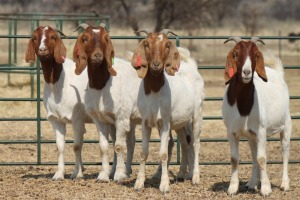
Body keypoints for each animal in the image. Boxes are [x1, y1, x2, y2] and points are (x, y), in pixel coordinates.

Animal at [25, 25, 91, 180]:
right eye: (35, 38)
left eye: (53, 37)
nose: (42, 50)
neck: (59, 84)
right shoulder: (56, 119)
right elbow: (60, 146)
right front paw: (59, 174)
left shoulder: (77, 118)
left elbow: (77, 146)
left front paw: (77, 174)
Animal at [131, 29, 204, 192]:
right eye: (147, 44)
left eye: (166, 45)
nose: (156, 64)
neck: (154, 92)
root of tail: (192, 67)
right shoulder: (146, 122)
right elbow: (143, 152)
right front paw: (139, 183)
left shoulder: (164, 123)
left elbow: (163, 153)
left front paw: (164, 185)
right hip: (180, 122)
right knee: (185, 143)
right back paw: (181, 174)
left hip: (197, 115)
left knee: (196, 143)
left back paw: (195, 177)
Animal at [223, 36, 290, 196]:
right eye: (235, 54)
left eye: (255, 55)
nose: (246, 72)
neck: (243, 107)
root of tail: (278, 73)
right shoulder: (231, 132)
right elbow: (235, 158)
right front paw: (232, 188)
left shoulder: (261, 131)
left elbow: (261, 158)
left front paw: (266, 188)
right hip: (251, 136)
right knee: (253, 155)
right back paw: (252, 183)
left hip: (287, 125)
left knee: (284, 152)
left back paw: (284, 184)